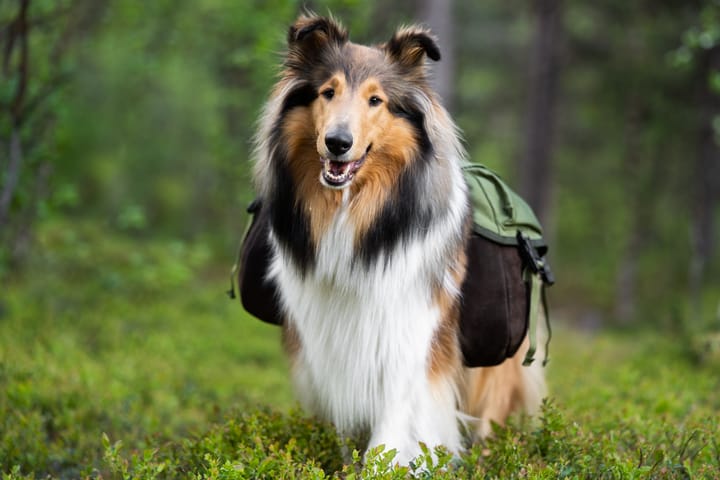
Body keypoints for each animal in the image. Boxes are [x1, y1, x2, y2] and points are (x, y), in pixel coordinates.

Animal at [253, 15, 544, 464]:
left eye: (376, 100)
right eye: (328, 92)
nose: (337, 143)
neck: (352, 213)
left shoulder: (409, 334)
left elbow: (393, 430)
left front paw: (390, 464)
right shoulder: (326, 339)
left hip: (495, 363)